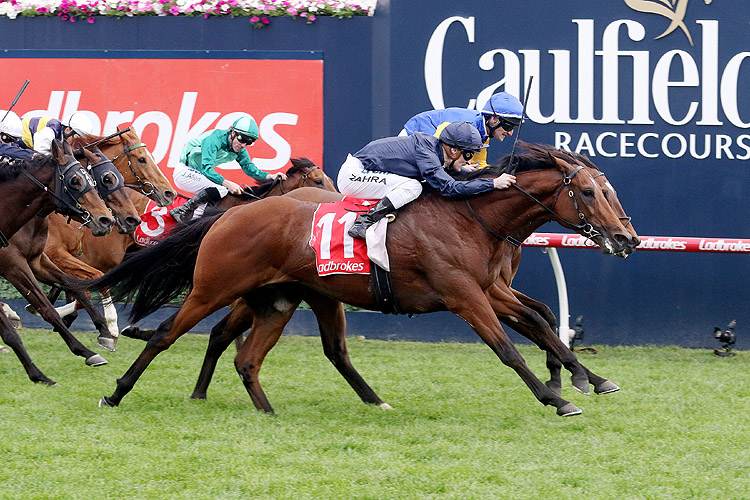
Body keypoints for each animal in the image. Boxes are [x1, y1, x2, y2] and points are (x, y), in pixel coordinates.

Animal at [0, 141, 114, 386]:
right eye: (75, 181)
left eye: (92, 180)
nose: (106, 220)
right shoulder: (13, 264)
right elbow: (46, 309)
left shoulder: (36, 260)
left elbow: (71, 284)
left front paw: (104, 333)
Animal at [88, 143, 640, 416]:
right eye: (589, 192)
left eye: (607, 189)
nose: (626, 237)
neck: (472, 218)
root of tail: (230, 215)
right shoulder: (464, 295)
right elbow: (508, 347)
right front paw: (559, 398)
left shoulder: (490, 289)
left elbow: (541, 321)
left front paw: (588, 378)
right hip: (214, 288)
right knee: (167, 334)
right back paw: (115, 393)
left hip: (282, 300)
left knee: (254, 355)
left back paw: (278, 410)